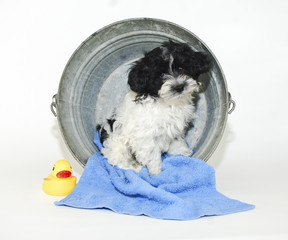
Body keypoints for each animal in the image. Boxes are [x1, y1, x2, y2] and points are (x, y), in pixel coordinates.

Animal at [98, 39, 210, 174]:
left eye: (181, 68)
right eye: (161, 75)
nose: (179, 87)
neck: (168, 103)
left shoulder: (175, 129)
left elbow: (177, 141)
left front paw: (182, 153)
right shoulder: (146, 137)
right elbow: (152, 155)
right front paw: (157, 173)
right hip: (116, 143)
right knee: (118, 158)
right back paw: (134, 167)